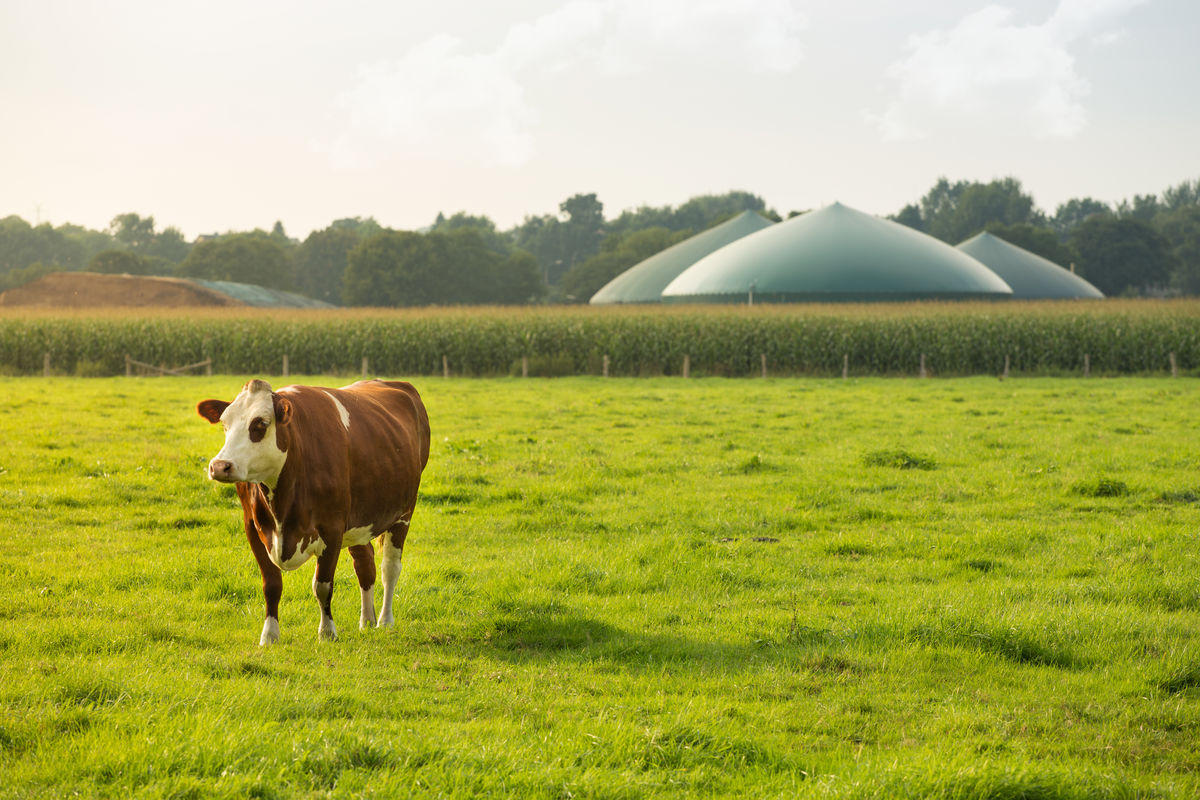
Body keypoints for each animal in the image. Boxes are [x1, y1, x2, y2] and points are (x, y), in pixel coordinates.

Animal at [192, 379, 427, 647]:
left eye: (260, 424)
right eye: (225, 424)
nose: (220, 466)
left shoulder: (332, 528)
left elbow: (322, 585)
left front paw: (327, 632)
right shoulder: (252, 526)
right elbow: (271, 584)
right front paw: (269, 635)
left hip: (404, 512)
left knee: (390, 568)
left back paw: (385, 621)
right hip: (359, 520)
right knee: (365, 565)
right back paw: (367, 621)